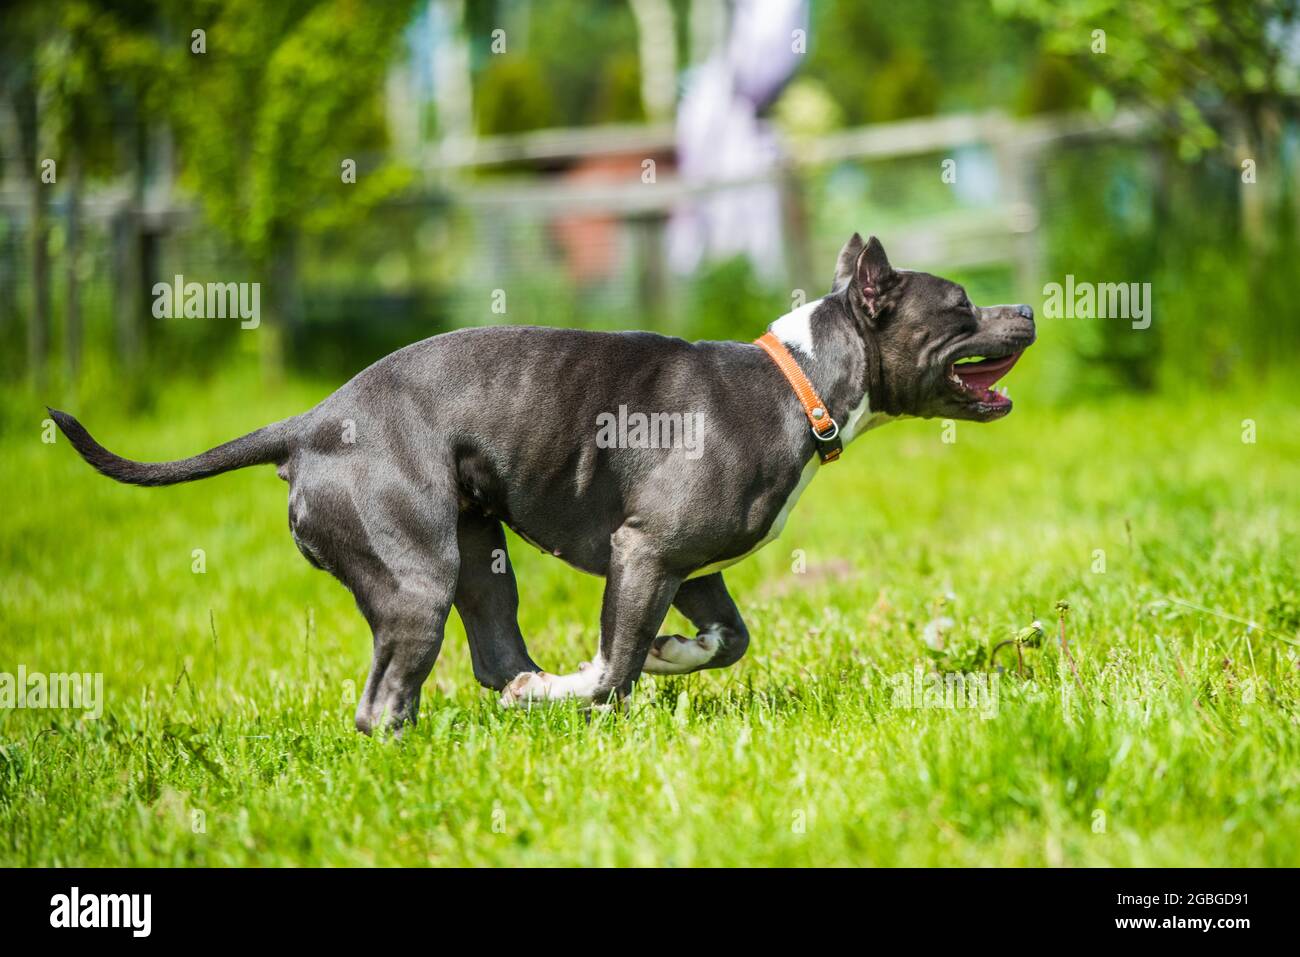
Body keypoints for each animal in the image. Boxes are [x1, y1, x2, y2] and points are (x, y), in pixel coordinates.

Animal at [50, 235, 1034, 738]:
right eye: (960, 307)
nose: (1027, 307)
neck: (800, 382)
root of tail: (310, 425)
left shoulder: (694, 564)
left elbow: (725, 639)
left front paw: (671, 652)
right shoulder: (645, 552)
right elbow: (617, 669)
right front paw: (615, 671)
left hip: (476, 550)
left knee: (495, 657)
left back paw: (521, 695)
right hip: (417, 578)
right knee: (386, 701)